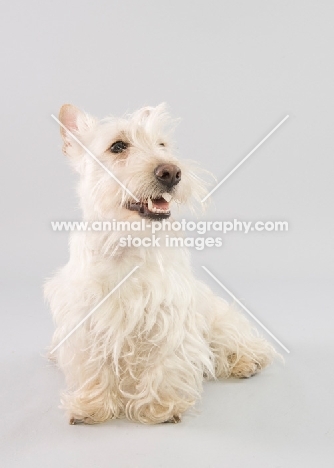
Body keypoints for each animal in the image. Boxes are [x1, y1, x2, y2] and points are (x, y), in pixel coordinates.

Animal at [44, 104, 276, 426]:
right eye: (118, 146)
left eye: (162, 144)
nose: (171, 172)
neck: (127, 241)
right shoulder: (85, 317)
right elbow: (94, 366)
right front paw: (93, 405)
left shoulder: (168, 313)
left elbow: (164, 362)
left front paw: (159, 406)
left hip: (219, 318)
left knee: (236, 341)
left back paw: (246, 360)